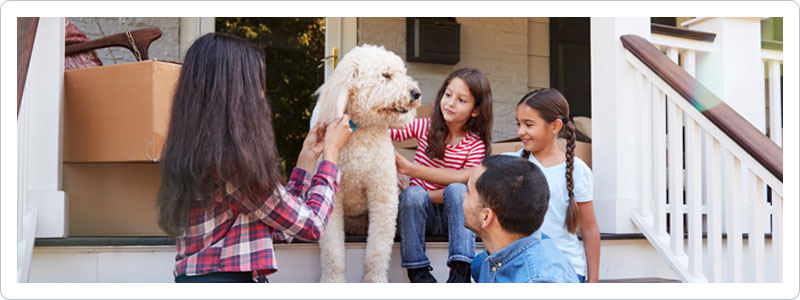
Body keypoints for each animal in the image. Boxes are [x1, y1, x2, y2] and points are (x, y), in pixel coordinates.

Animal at [310, 44, 422, 282]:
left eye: (402, 72)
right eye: (386, 75)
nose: (416, 93)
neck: (360, 130)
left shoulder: (383, 195)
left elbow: (378, 249)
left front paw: (374, 279)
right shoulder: (333, 197)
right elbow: (331, 249)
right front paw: (332, 279)